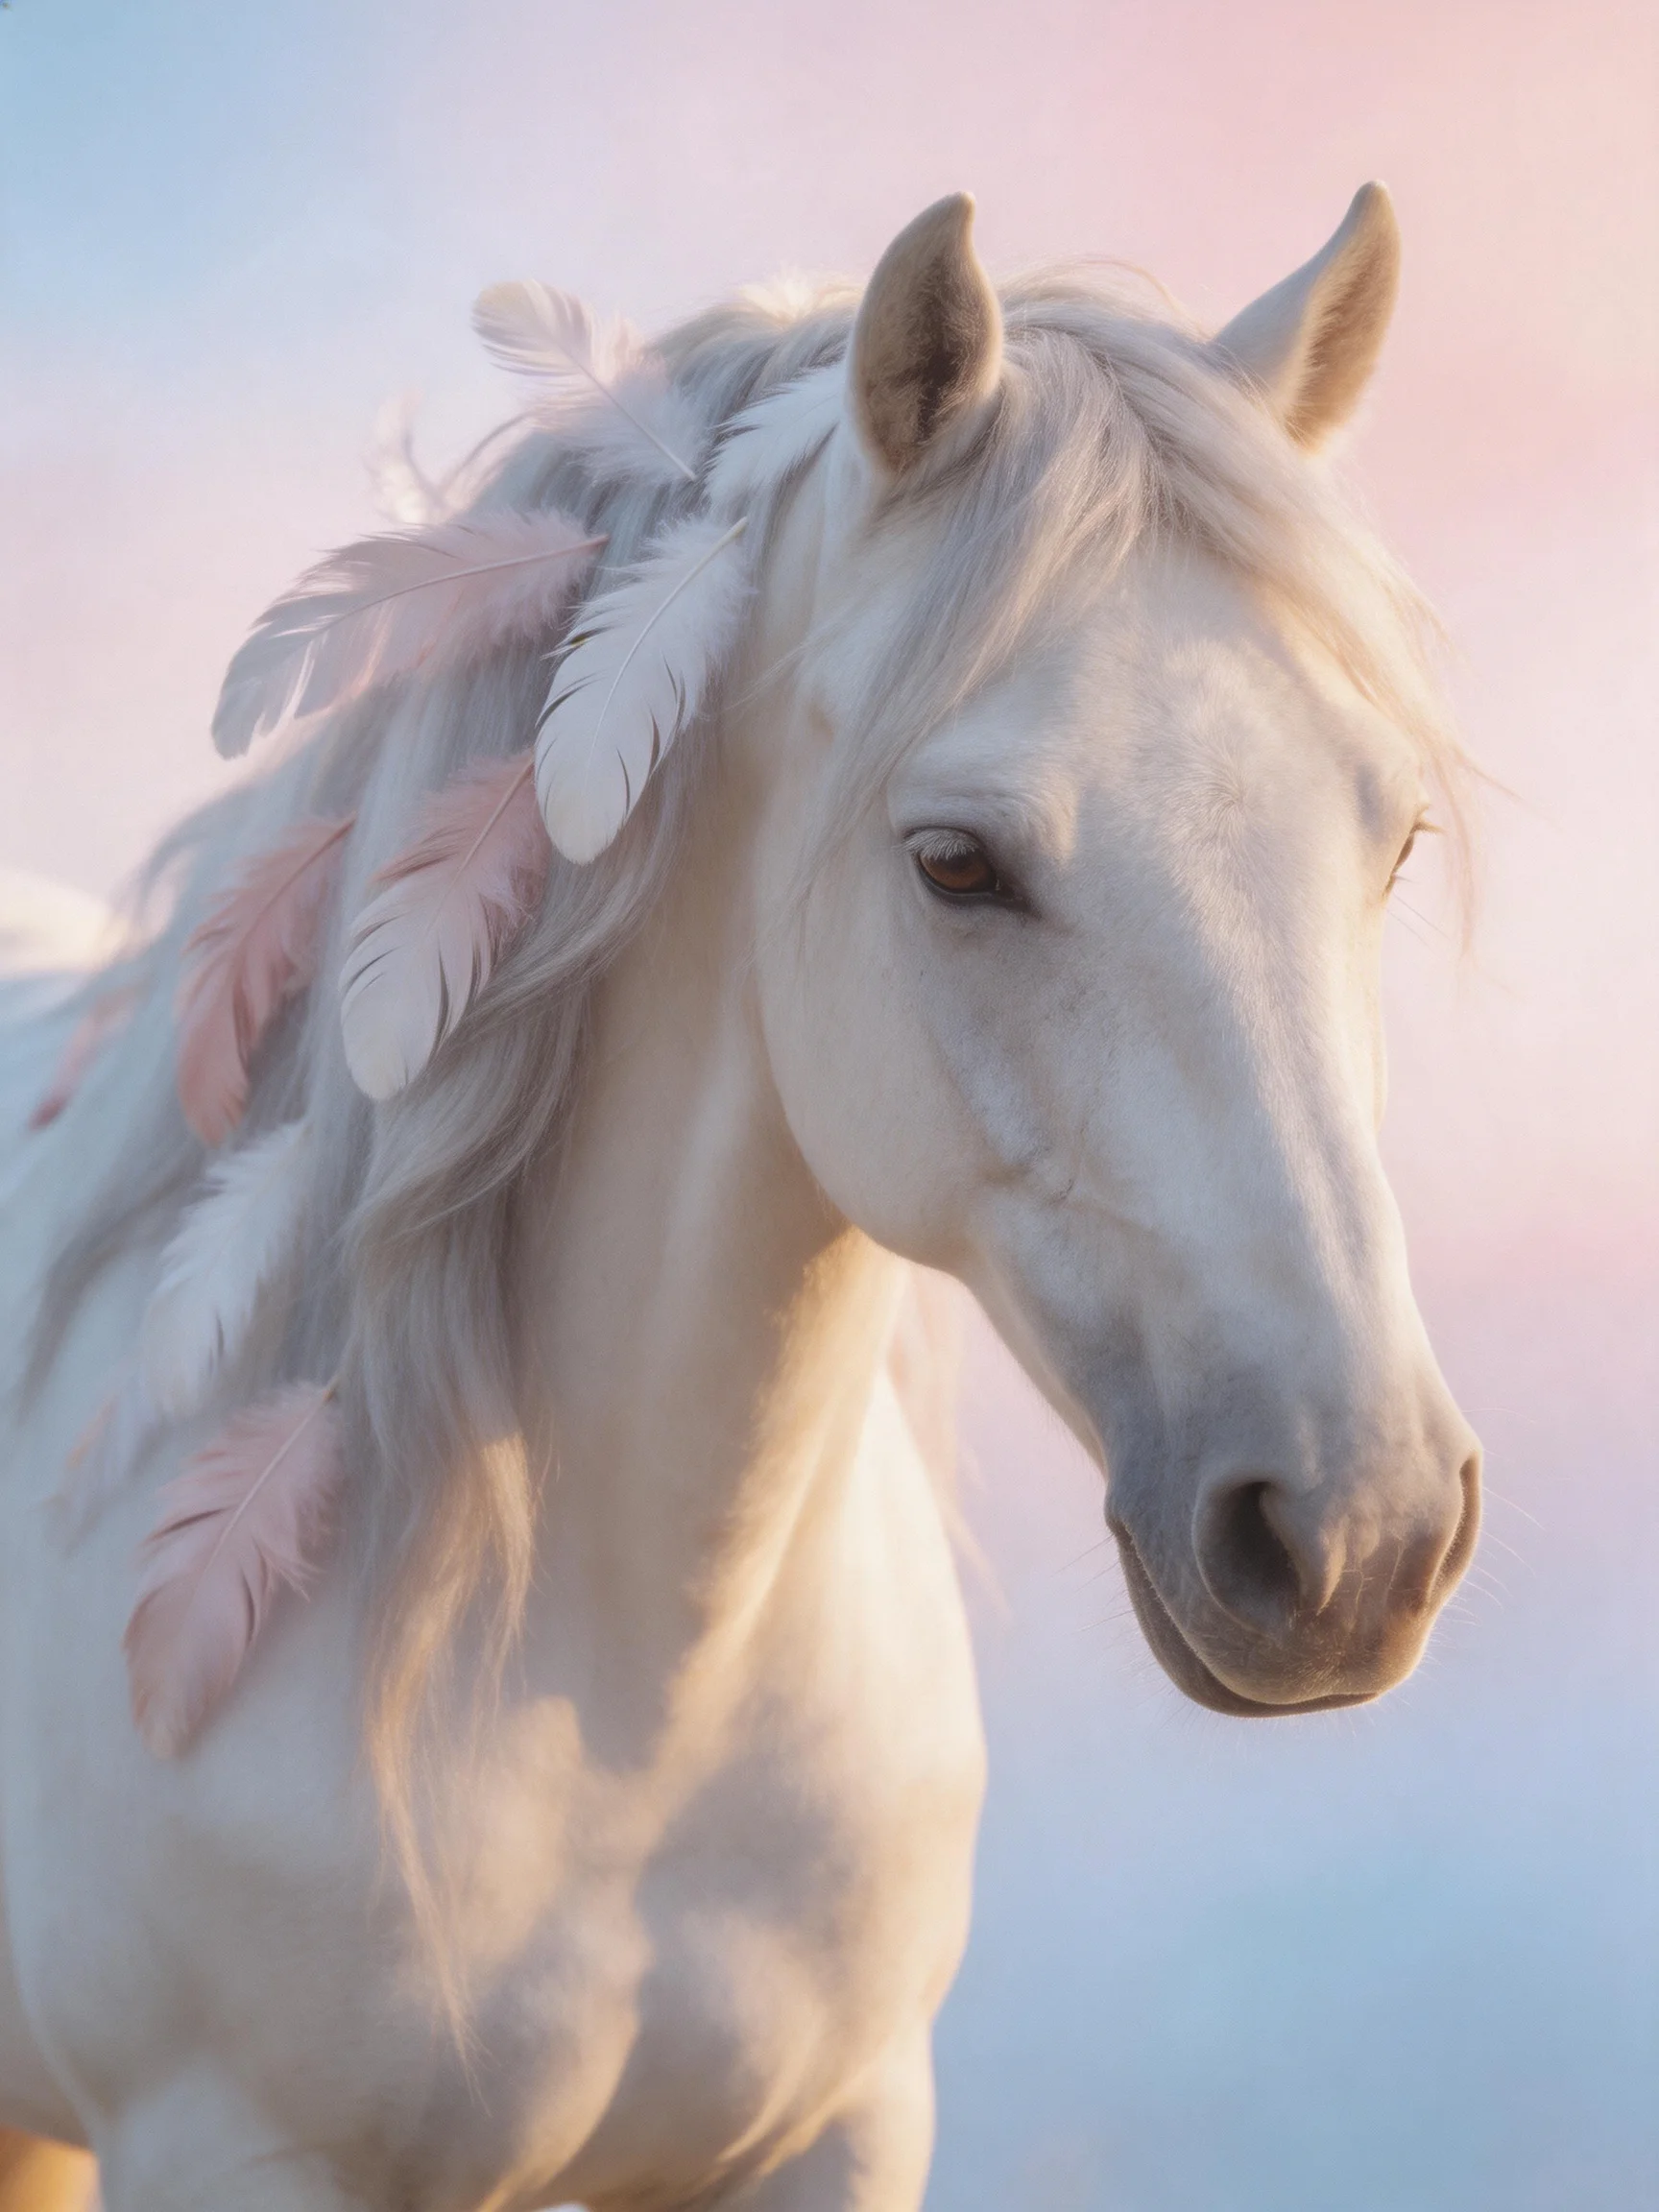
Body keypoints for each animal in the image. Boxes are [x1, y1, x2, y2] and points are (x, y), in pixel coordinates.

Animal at [0, 186, 1480, 2211]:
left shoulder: (840, 2128)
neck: (620, 1694)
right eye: (955, 860)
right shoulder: (227, 2145)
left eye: (1390, 839)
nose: (1359, 1533)